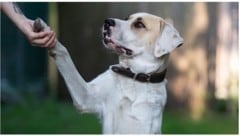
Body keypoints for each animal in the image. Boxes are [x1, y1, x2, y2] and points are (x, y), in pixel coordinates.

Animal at [34, 11, 184, 134]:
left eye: (139, 24)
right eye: (126, 18)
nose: (107, 21)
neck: (133, 78)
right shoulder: (86, 97)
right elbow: (65, 56)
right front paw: (44, 30)